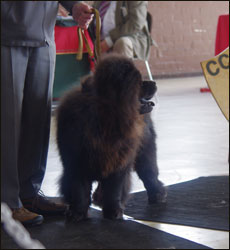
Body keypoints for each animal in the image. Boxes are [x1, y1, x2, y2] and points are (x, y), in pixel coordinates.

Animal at [56, 53, 166, 222]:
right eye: (139, 81)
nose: (153, 82)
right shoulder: (75, 162)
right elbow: (78, 189)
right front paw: (77, 213)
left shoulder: (119, 159)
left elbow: (114, 188)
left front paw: (113, 211)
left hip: (145, 148)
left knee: (149, 172)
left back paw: (157, 194)